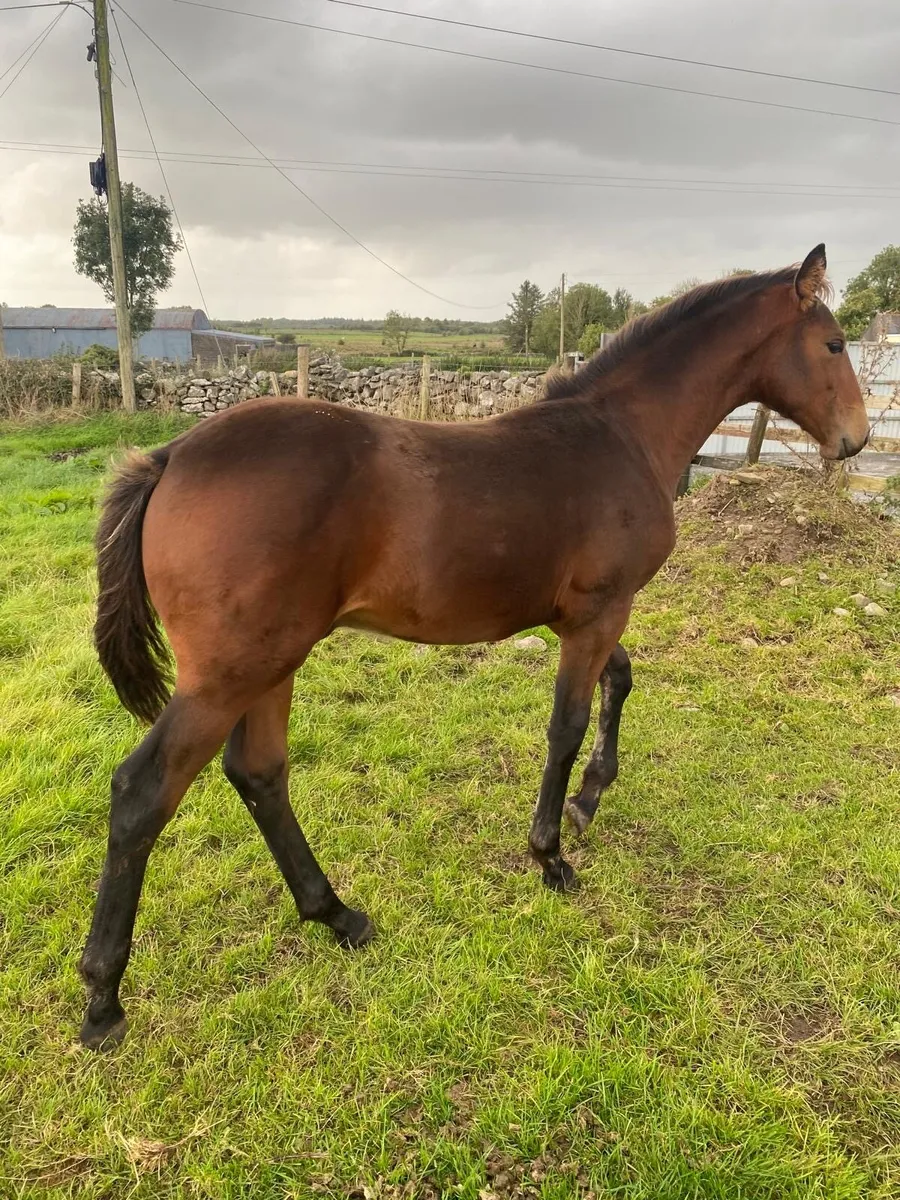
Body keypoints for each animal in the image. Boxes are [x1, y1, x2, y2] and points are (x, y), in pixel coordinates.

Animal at [79, 244, 869, 1048]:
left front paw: (589, 799)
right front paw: (551, 855)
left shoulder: (580, 618)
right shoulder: (598, 613)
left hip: (271, 662)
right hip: (228, 673)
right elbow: (566, 725)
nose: (858, 438)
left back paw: (337, 915)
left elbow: (620, 681)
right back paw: (104, 997)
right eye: (835, 344)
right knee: (143, 793)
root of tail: (169, 459)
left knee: (260, 774)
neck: (622, 435)